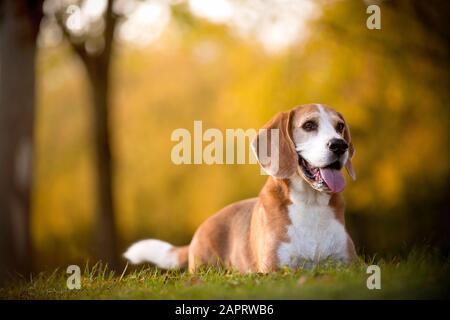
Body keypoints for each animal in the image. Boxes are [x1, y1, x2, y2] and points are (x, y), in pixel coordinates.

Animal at [125, 104, 356, 272]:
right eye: (309, 125)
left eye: (340, 126)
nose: (339, 145)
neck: (310, 203)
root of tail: (198, 232)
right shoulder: (276, 270)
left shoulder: (350, 265)